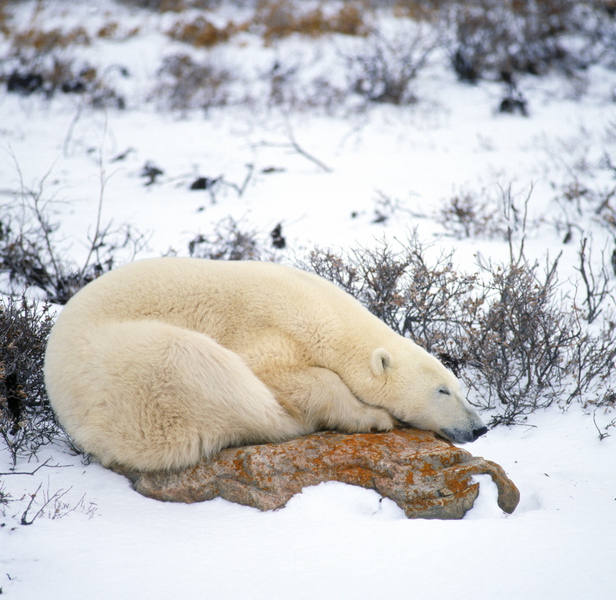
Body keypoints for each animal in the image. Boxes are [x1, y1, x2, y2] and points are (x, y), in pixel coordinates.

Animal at [44, 258, 486, 474]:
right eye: (442, 390)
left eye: (461, 387)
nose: (479, 427)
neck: (324, 315)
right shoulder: (268, 329)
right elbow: (284, 375)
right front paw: (374, 417)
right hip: (136, 365)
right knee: (215, 378)